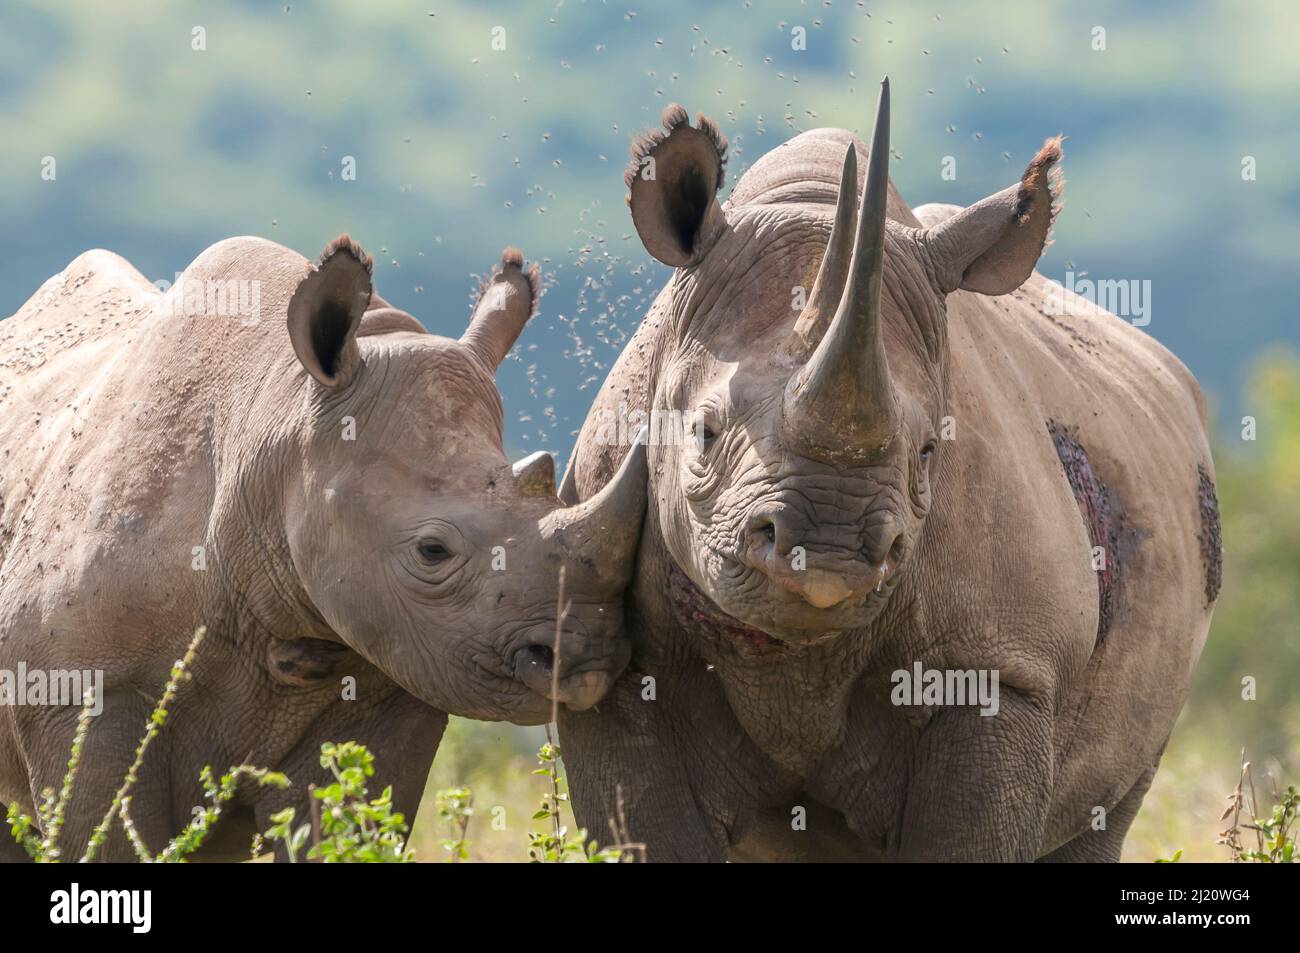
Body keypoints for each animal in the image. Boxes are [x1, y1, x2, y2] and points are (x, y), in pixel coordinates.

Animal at [0, 234, 647, 858]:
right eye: (431, 552)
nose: (587, 654)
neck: (275, 420)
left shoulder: (387, 689)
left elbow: (343, 824)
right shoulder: (81, 690)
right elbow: (104, 836)